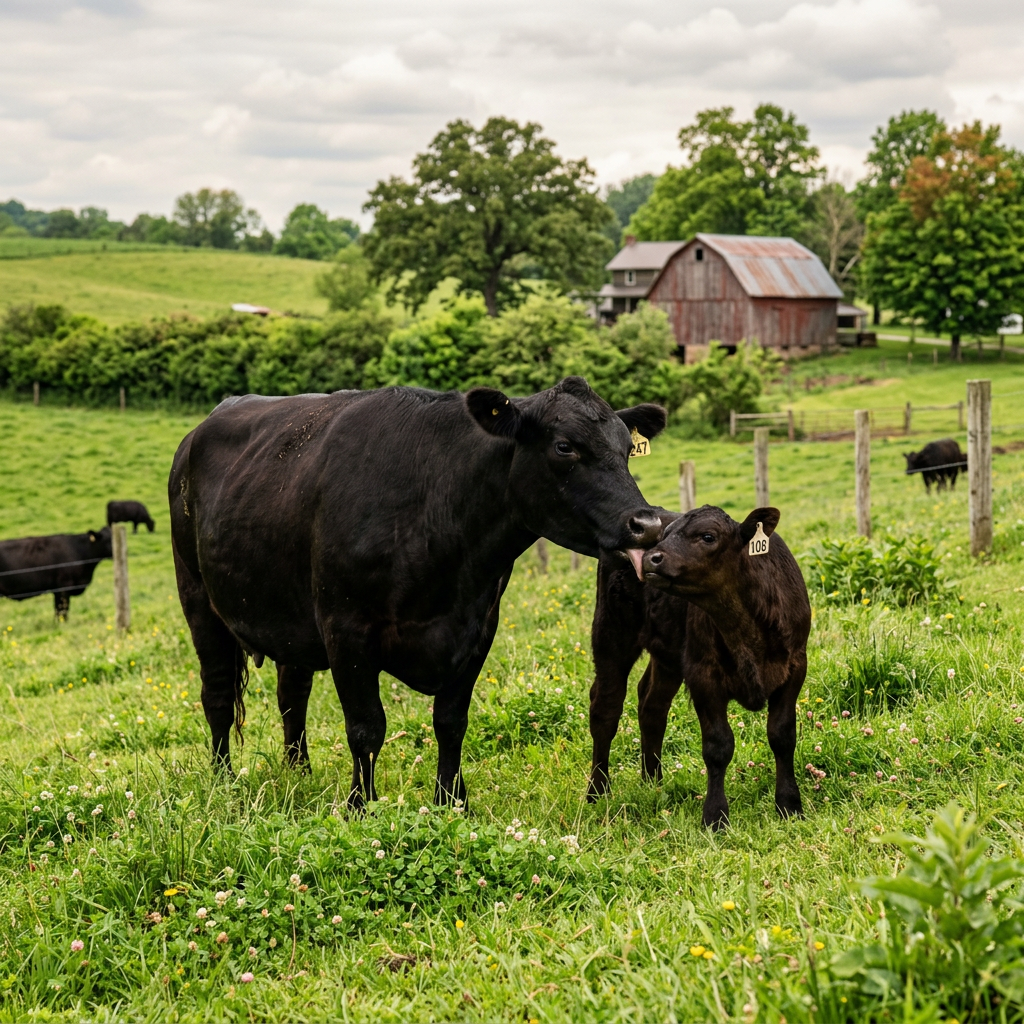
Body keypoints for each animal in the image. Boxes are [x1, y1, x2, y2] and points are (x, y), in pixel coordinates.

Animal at [169, 378, 666, 809]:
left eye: (627, 449)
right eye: (565, 446)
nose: (648, 523)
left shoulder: (479, 627)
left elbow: (451, 721)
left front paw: (451, 801)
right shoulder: (346, 628)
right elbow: (366, 727)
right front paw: (360, 806)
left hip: (290, 617)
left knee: (292, 694)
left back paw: (299, 772)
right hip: (198, 598)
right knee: (217, 694)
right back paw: (222, 779)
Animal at [588, 505, 810, 830]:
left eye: (708, 536)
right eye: (665, 534)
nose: (651, 557)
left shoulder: (794, 669)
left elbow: (782, 736)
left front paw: (789, 805)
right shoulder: (703, 675)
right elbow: (718, 747)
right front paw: (715, 817)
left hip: (667, 654)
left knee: (652, 705)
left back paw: (652, 781)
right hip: (611, 635)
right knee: (605, 710)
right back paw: (597, 792)